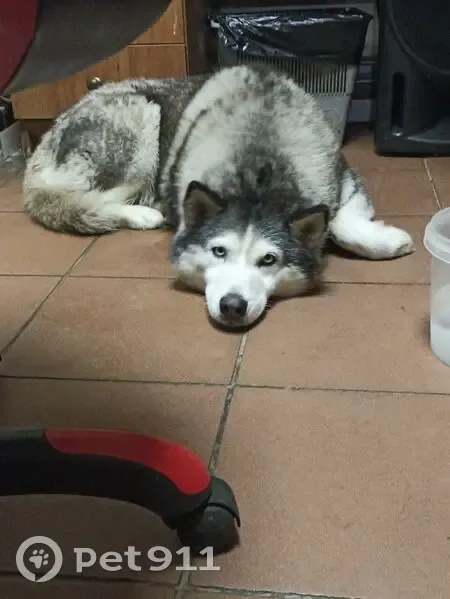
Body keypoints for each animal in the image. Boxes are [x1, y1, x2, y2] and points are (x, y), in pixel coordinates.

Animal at [24, 65, 414, 328]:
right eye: (218, 252)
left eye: (268, 260)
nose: (233, 306)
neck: (258, 174)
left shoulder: (343, 176)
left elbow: (343, 222)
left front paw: (385, 240)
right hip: (142, 123)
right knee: (81, 197)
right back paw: (142, 213)